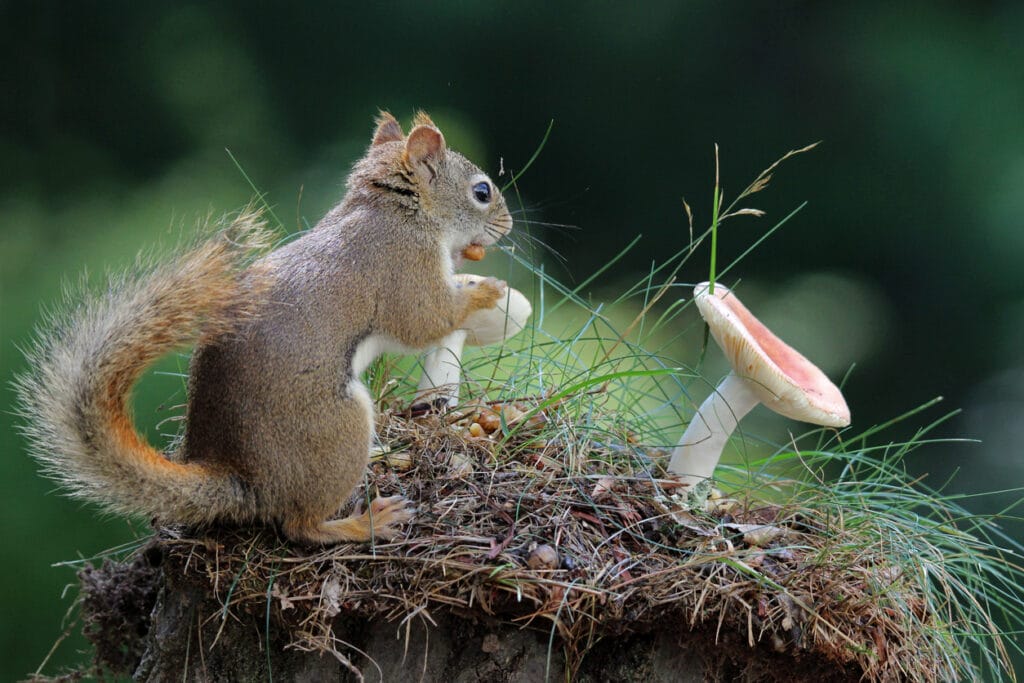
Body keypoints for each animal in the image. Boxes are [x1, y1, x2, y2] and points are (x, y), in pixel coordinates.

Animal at [14, 113, 509, 548]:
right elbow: (426, 319)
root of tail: (241, 479)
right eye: (481, 191)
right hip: (334, 429)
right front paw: (486, 289)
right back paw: (365, 523)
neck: (394, 210)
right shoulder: (403, 265)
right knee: (299, 526)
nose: (507, 225)